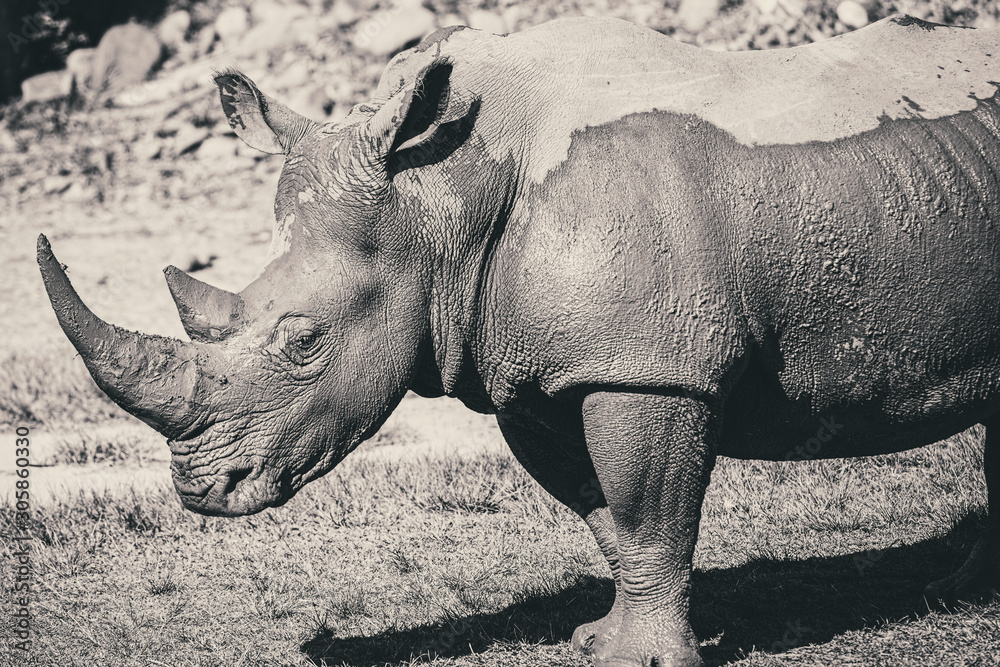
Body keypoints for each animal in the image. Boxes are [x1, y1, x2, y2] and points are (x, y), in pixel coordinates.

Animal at [38, 14, 1000, 666]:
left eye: (304, 340)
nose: (201, 489)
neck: (440, 194)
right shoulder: (533, 370)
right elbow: (605, 512)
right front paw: (599, 638)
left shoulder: (645, 367)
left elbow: (650, 510)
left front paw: (640, 659)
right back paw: (956, 592)